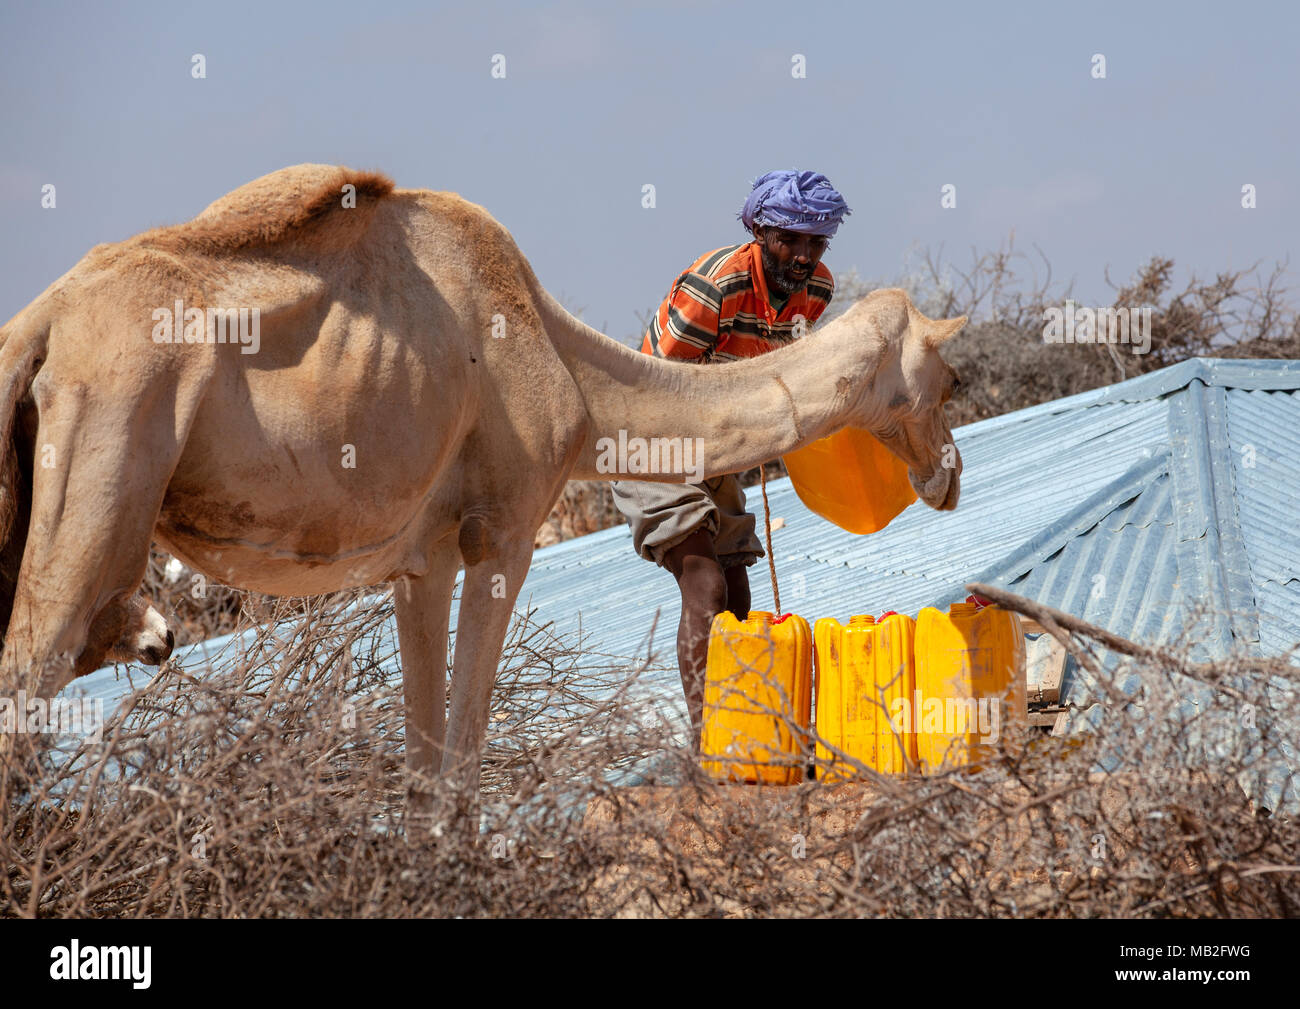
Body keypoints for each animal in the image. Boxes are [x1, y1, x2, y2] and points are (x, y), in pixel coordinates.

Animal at [0, 161, 967, 800]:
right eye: (950, 378)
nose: (948, 475)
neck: (571, 370)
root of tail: (37, 328)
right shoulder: (505, 531)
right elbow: (464, 752)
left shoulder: (421, 555)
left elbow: (426, 757)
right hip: (108, 441)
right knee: (33, 669)